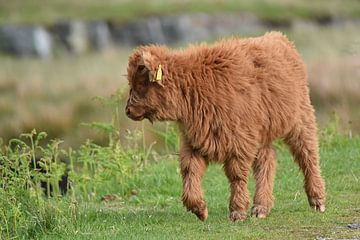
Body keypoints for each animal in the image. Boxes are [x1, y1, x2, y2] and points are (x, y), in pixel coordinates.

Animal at [126, 31, 326, 221]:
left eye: (142, 83)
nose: (128, 110)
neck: (196, 86)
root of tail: (279, 38)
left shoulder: (240, 141)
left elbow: (236, 175)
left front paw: (237, 211)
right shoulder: (194, 141)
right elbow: (190, 171)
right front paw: (199, 209)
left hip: (301, 118)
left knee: (308, 155)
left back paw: (317, 200)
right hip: (262, 134)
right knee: (267, 161)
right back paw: (261, 207)